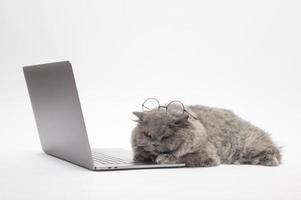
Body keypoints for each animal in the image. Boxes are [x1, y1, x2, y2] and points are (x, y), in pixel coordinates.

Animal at [131, 105, 282, 166]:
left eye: (166, 137)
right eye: (148, 135)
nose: (155, 144)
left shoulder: (207, 155)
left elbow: (182, 157)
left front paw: (163, 158)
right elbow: (142, 155)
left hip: (248, 145)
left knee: (272, 155)